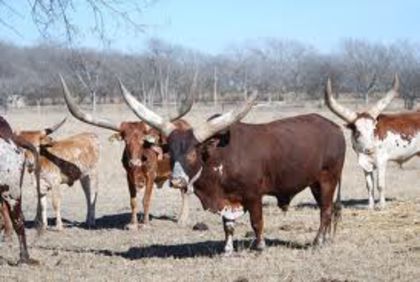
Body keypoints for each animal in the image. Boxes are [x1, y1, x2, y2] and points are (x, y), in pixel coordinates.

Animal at [60, 77, 193, 229]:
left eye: (143, 140)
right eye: (126, 140)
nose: (134, 162)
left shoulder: (151, 175)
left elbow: (146, 200)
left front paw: (145, 224)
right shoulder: (129, 177)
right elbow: (133, 201)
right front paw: (133, 224)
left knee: (185, 191)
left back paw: (182, 219)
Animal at [118, 80, 344, 252]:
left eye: (192, 153)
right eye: (171, 153)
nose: (177, 181)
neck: (218, 157)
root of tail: (335, 128)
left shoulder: (254, 195)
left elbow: (256, 221)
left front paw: (259, 246)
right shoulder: (226, 199)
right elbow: (228, 225)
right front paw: (227, 249)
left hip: (328, 179)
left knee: (325, 210)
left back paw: (317, 242)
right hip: (315, 183)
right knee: (326, 209)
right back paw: (324, 240)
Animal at [324, 75, 410, 209]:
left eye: (374, 129)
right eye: (357, 132)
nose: (369, 149)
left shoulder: (381, 162)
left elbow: (380, 185)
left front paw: (382, 206)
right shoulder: (364, 165)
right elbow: (369, 186)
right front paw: (370, 206)